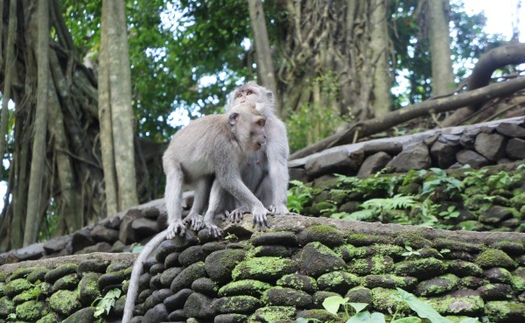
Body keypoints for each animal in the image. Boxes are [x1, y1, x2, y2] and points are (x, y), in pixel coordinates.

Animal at [122, 103, 266, 322]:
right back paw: (176, 221)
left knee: (205, 179)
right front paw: (258, 207)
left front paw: (210, 219)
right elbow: (228, 178)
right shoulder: (222, 147)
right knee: (176, 176)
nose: (265, 136)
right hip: (169, 159)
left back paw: (195, 216)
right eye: (258, 123)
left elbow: (220, 180)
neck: (231, 134)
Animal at [202, 82, 290, 237]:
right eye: (239, 95)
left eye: (249, 93)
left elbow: (277, 166)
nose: (243, 99)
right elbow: (225, 175)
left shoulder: (276, 128)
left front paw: (280, 205)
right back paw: (233, 210)